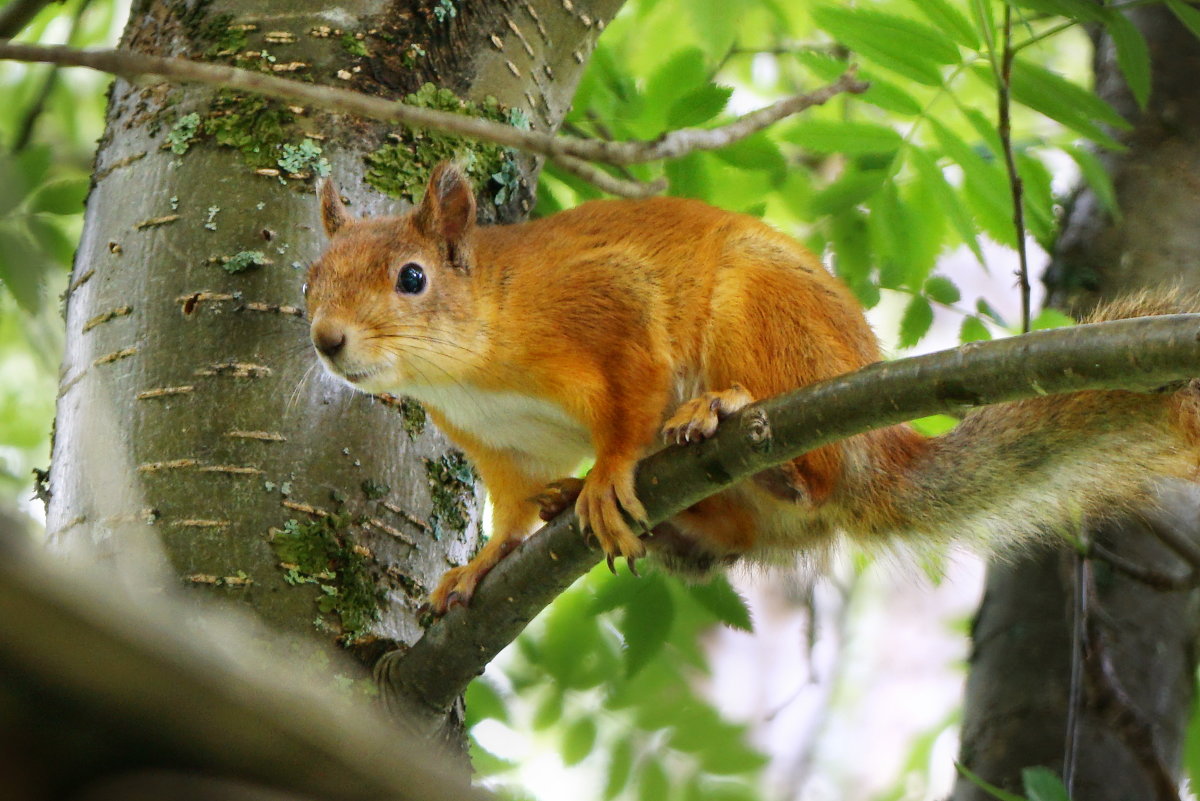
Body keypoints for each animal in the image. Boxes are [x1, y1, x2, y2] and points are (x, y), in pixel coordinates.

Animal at [304, 163, 1200, 613]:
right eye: (311, 279)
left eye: (412, 277)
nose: (325, 339)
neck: (471, 362)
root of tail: (881, 448)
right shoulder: (493, 443)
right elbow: (512, 508)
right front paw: (481, 563)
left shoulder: (612, 307)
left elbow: (633, 398)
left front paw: (608, 471)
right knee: (740, 541)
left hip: (758, 312)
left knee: (818, 476)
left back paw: (731, 424)